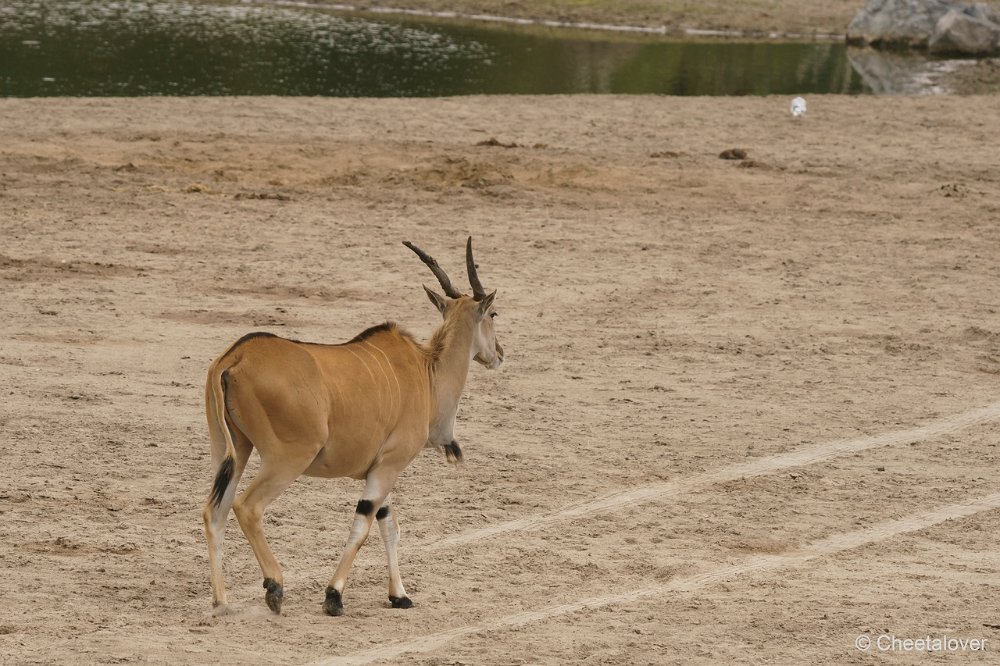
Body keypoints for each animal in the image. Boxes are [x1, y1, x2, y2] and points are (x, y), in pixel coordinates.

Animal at [202, 236, 504, 616]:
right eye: (493, 314)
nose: (499, 354)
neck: (427, 370)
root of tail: (235, 357)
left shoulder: (382, 470)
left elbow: (389, 525)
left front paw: (399, 595)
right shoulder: (388, 467)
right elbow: (363, 527)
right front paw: (334, 596)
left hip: (231, 451)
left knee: (214, 512)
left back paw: (221, 601)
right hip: (287, 459)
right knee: (247, 507)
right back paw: (275, 586)